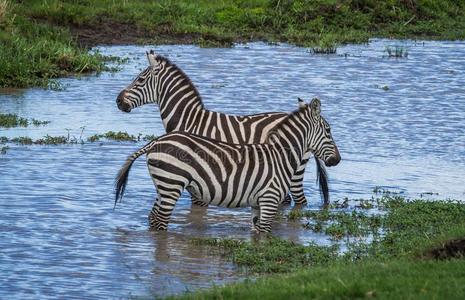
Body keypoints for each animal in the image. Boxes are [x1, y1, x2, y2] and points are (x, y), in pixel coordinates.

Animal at [115, 96, 340, 232]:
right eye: (329, 131)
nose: (337, 160)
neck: (280, 156)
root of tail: (155, 142)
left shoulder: (257, 204)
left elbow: (257, 235)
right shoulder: (269, 199)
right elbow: (265, 236)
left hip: (164, 186)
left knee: (154, 218)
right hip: (172, 184)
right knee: (161, 222)